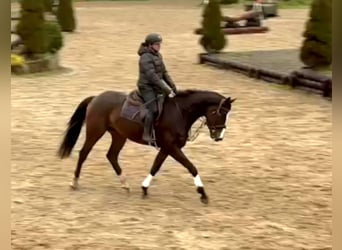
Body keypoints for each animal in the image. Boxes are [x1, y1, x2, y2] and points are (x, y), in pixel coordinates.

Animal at [58, 89, 235, 204]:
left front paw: (144, 188)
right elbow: (191, 167)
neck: (179, 112)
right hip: (95, 132)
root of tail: (96, 98)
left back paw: (125, 184)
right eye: (219, 112)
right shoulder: (171, 147)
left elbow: (155, 166)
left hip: (119, 135)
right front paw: (203, 193)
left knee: (111, 155)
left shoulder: (167, 148)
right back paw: (74, 182)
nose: (219, 136)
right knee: (83, 153)